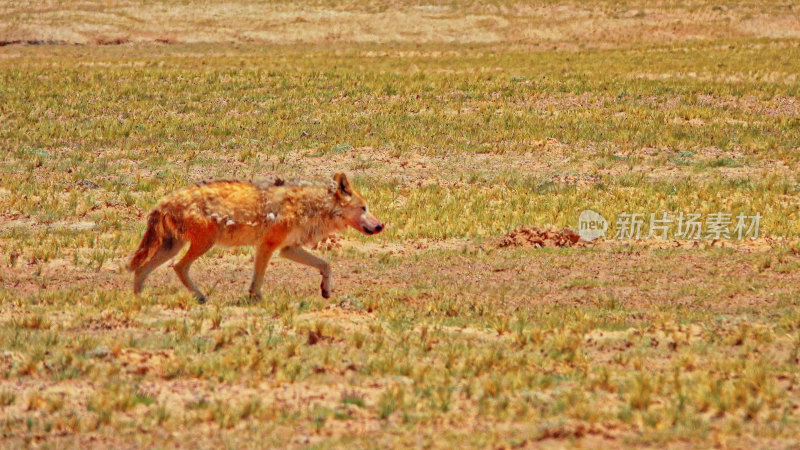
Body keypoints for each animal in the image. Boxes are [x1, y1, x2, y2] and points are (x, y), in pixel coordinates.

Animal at [128, 172, 384, 302]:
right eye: (364, 208)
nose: (380, 225)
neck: (311, 207)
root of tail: (162, 202)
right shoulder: (267, 245)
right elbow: (258, 278)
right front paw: (257, 297)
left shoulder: (287, 248)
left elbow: (325, 264)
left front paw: (326, 290)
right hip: (202, 244)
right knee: (178, 267)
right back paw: (200, 297)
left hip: (173, 247)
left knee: (142, 270)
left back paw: (141, 302)